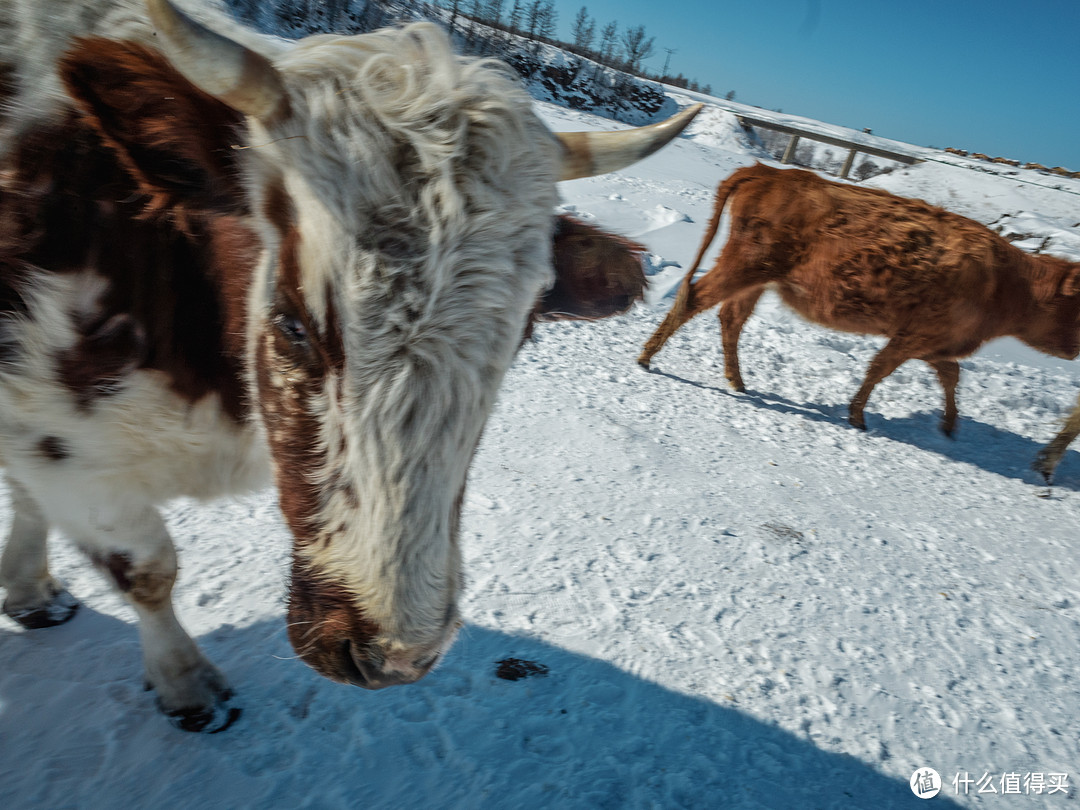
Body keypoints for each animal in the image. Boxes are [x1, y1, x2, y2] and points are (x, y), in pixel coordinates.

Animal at [2, 0, 699, 734]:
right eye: (290, 322)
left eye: (525, 332)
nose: (393, 657)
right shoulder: (67, 456)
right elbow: (148, 570)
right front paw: (187, 682)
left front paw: (28, 587)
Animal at [635, 160, 1080, 434]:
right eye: (1076, 307)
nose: (1076, 350)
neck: (1007, 284)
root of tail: (767, 171)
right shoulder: (915, 337)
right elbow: (879, 369)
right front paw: (857, 415)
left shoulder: (935, 342)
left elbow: (951, 375)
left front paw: (950, 425)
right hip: (744, 267)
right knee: (695, 298)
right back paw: (647, 358)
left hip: (757, 279)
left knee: (730, 318)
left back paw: (738, 381)